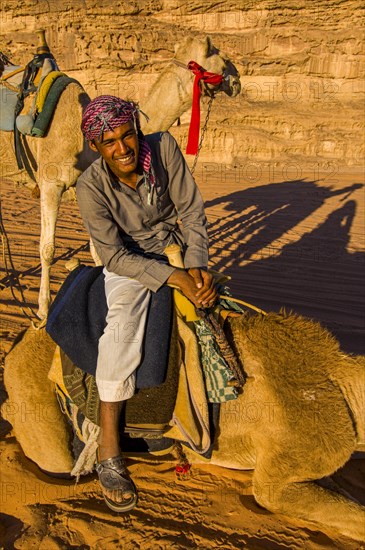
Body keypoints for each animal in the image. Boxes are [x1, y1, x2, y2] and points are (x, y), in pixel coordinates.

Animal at [0, 35, 240, 320]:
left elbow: (99, 250)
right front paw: (43, 313)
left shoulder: (84, 190)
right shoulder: (51, 183)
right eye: (218, 55)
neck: (83, 139)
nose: (237, 79)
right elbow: (47, 248)